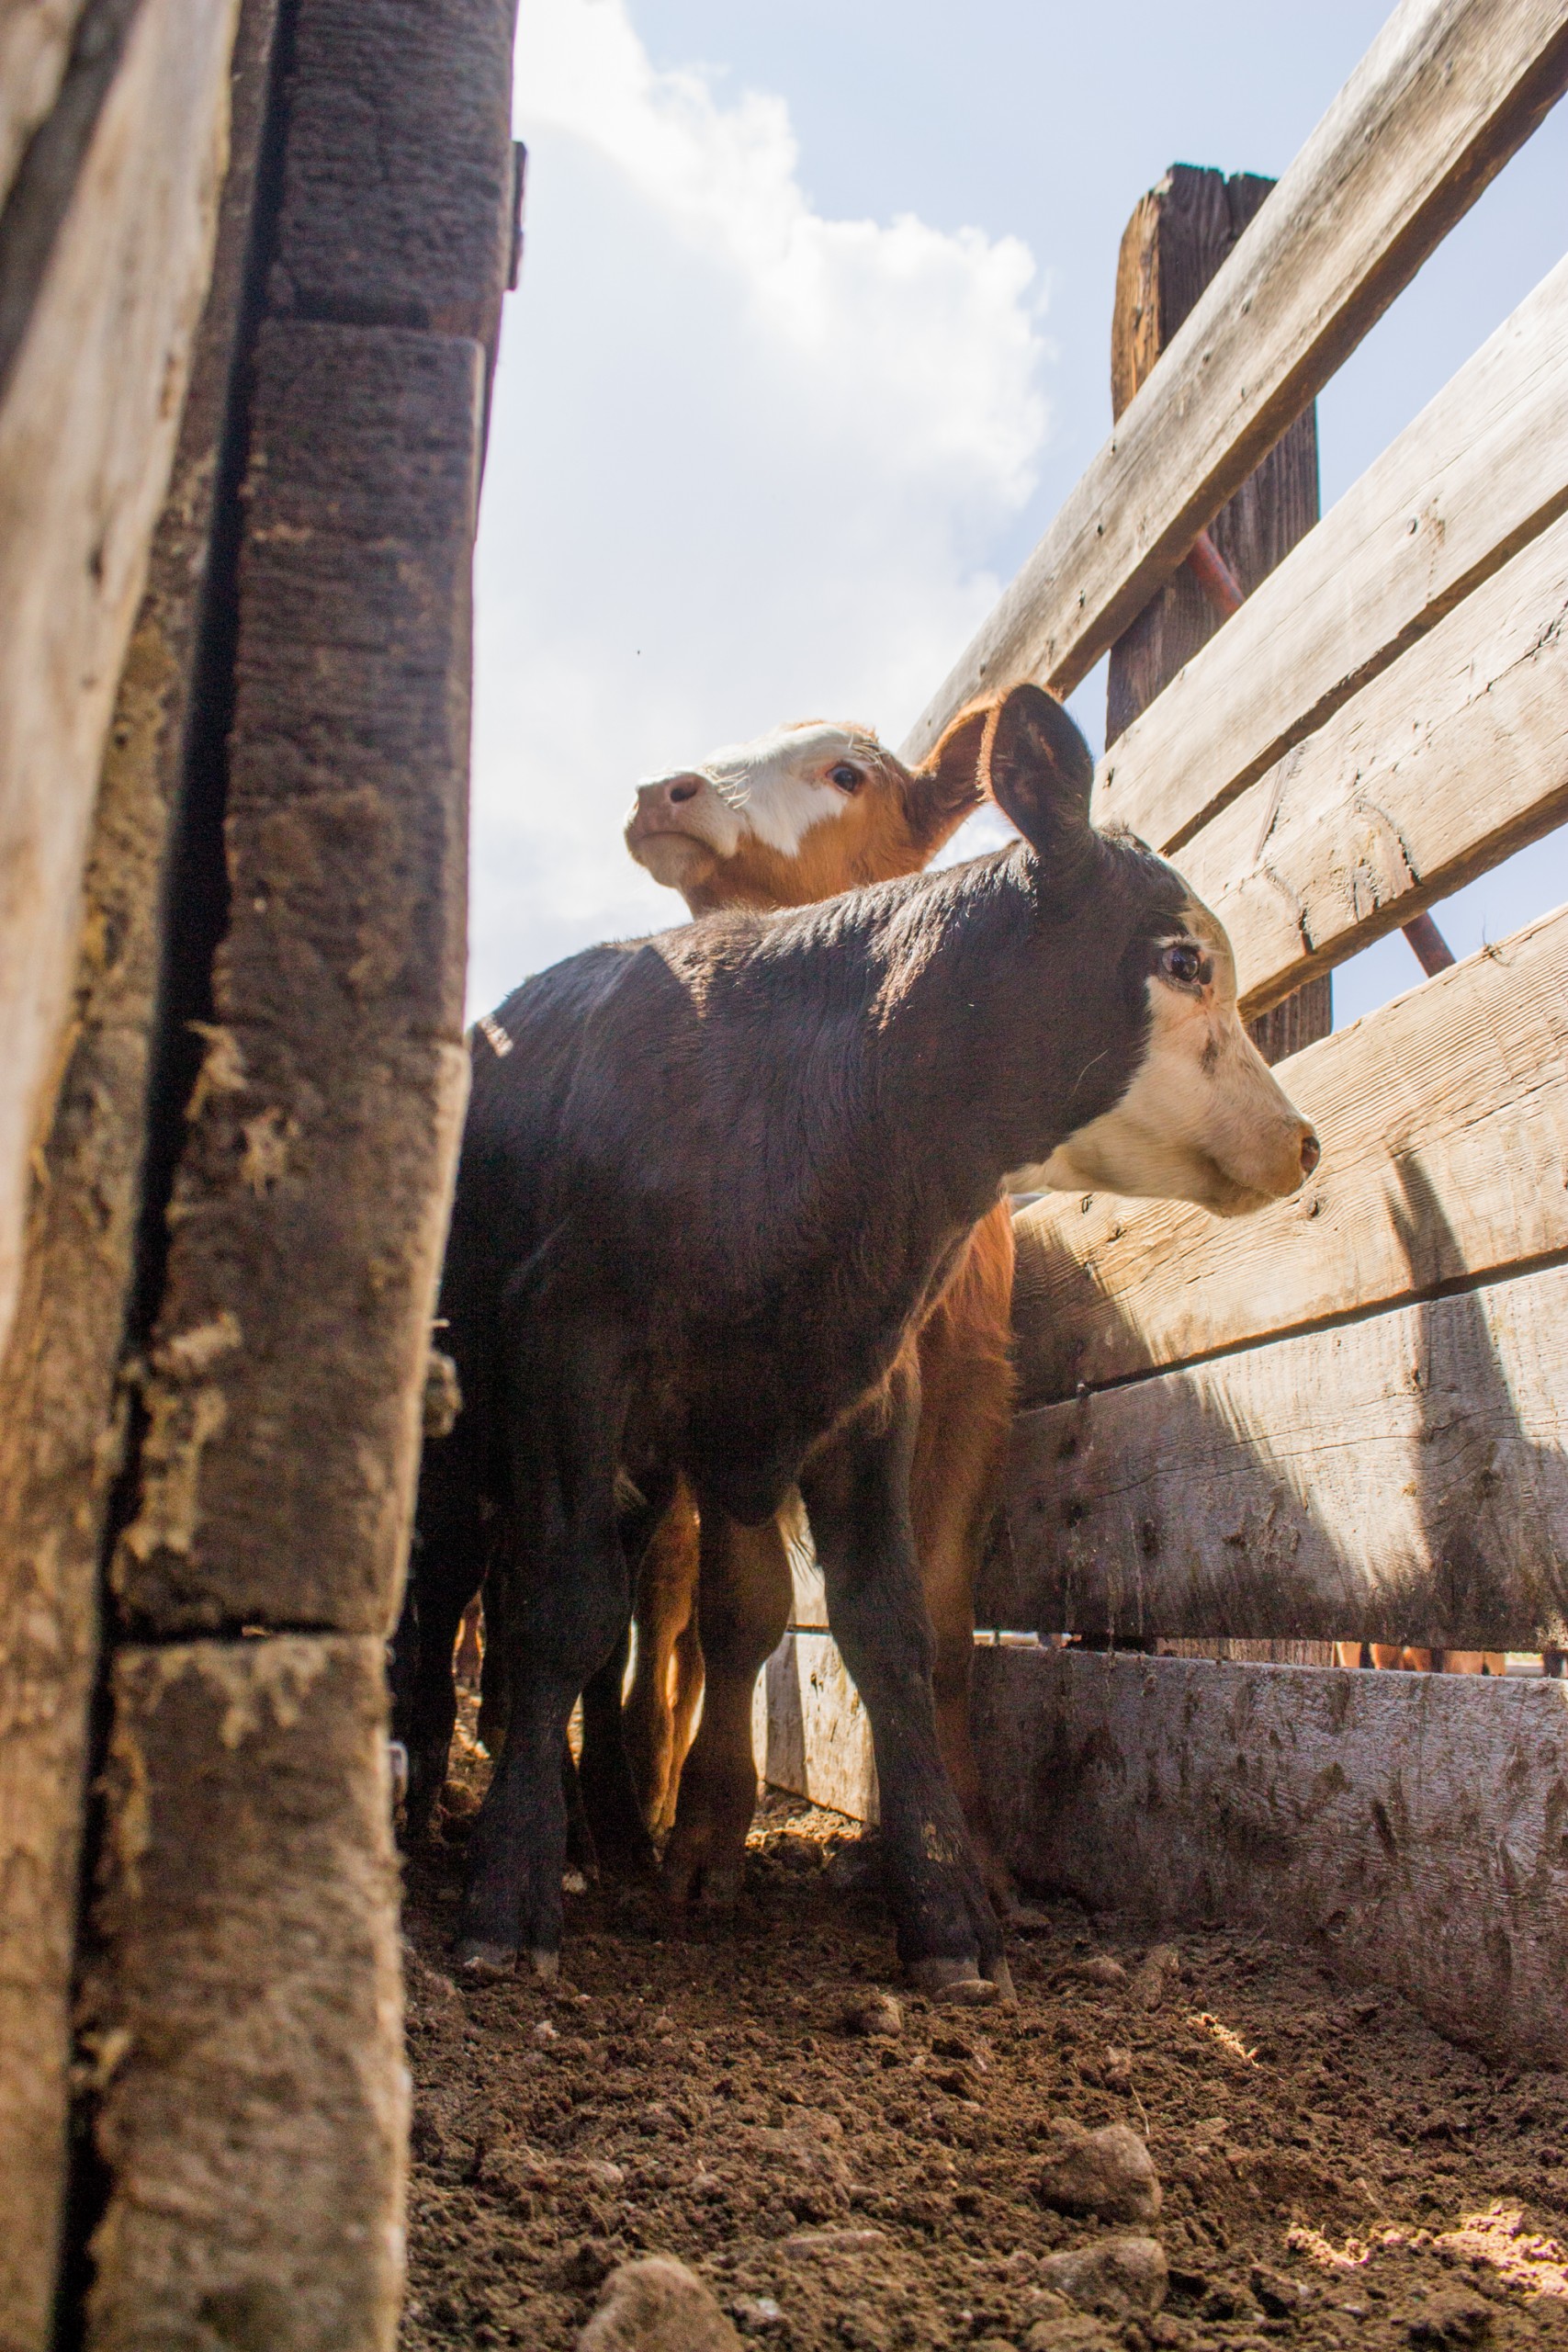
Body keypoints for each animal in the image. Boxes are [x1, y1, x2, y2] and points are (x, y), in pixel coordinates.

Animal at [395, 683, 1319, 1992]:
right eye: (1184, 962)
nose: (1303, 1140)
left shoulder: (871, 1394)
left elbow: (890, 1630)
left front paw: (948, 1913)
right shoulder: (573, 1351)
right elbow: (567, 1611)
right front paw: (509, 1891)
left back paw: (610, 1825)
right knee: (460, 1594)